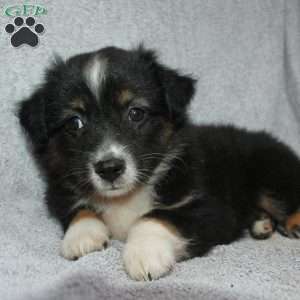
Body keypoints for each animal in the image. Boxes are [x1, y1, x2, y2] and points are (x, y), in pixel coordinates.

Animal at [18, 45, 300, 282]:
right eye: (75, 122)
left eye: (136, 113)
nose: (109, 169)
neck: (126, 197)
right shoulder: (59, 194)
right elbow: (79, 209)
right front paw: (82, 235)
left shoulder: (211, 209)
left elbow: (157, 216)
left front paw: (144, 254)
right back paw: (262, 224)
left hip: (272, 174)